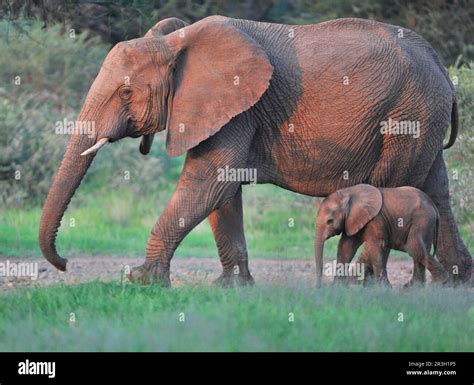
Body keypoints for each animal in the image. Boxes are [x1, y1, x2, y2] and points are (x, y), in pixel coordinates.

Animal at [314, 183, 448, 284]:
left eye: (330, 221)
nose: (319, 288)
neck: (348, 193)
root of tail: (433, 205)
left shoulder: (376, 219)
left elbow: (376, 248)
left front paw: (385, 289)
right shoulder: (352, 220)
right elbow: (345, 248)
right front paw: (337, 288)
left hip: (423, 220)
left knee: (414, 248)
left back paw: (440, 284)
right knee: (419, 251)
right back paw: (414, 288)